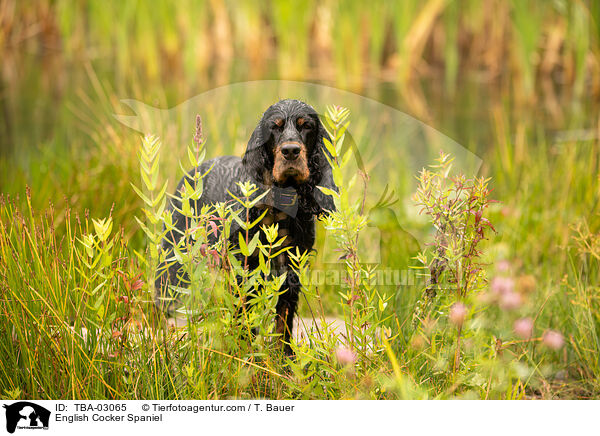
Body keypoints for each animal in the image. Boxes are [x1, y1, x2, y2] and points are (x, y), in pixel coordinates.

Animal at [156, 99, 338, 350]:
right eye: (275, 127)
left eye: (306, 126)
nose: (290, 151)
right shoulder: (244, 265)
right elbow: (245, 313)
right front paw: (246, 353)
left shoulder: (291, 265)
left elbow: (284, 318)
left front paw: (284, 356)